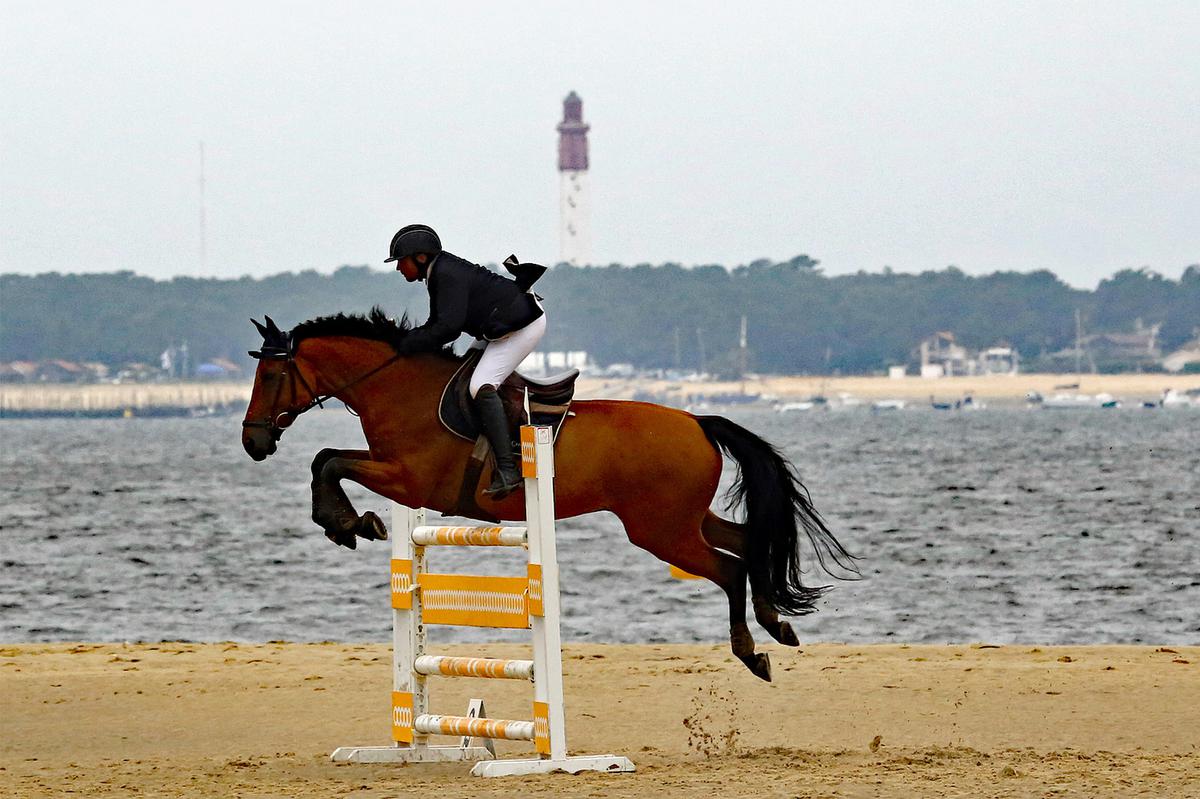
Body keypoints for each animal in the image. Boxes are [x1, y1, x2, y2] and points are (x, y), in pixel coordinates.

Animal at [241, 309, 854, 676]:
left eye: (270, 377)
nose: (252, 442)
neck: (398, 387)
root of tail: (698, 421)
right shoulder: (397, 474)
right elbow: (327, 459)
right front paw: (350, 523)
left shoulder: (407, 477)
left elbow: (329, 461)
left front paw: (347, 524)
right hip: (683, 519)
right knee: (749, 542)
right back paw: (777, 623)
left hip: (660, 530)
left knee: (728, 567)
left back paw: (751, 651)